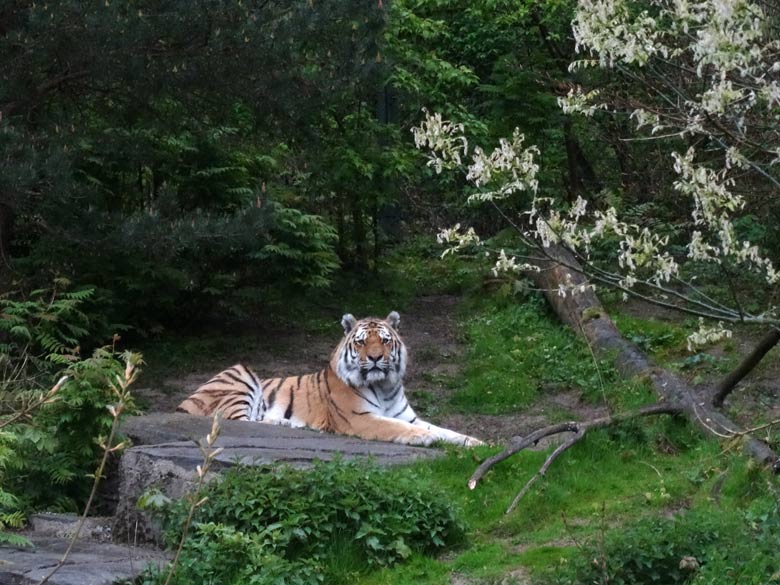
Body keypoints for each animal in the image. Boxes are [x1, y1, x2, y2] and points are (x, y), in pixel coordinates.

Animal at [177, 312, 482, 444]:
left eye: (384, 341)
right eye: (361, 342)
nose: (374, 358)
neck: (383, 385)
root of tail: (182, 405)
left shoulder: (408, 416)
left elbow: (448, 431)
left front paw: (477, 444)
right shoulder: (360, 418)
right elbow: (398, 428)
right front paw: (425, 438)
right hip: (240, 372)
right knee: (235, 420)